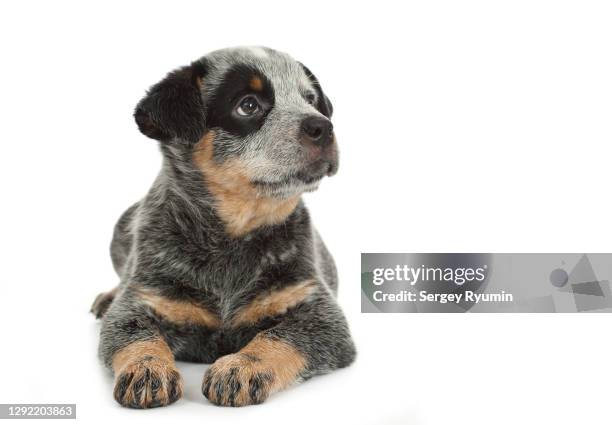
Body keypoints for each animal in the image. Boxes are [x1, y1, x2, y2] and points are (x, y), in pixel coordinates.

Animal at [92, 46, 356, 408]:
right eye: (248, 105)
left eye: (311, 100)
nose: (323, 126)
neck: (232, 237)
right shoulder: (142, 300)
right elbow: (133, 333)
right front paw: (146, 368)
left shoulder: (322, 314)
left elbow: (278, 336)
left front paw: (241, 367)